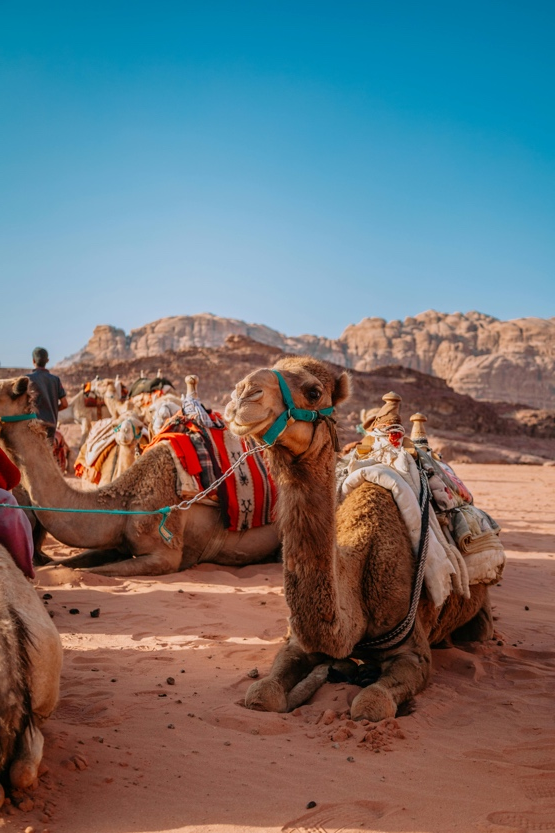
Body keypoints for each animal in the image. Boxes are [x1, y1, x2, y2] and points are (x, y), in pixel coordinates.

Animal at [225, 356, 494, 722]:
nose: (243, 394)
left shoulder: (413, 652)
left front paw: (348, 676)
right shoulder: (297, 645)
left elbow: (371, 705)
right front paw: (328, 672)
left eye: (314, 391)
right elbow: (262, 694)